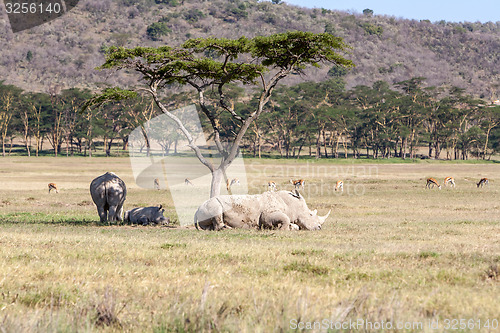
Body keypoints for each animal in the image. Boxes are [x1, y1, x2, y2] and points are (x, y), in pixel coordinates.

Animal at [193, 188, 330, 230]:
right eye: (310, 215)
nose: (319, 227)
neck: (291, 204)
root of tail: (197, 209)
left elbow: (293, 224)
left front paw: (290, 227)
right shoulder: (267, 214)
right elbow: (284, 218)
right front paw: (283, 229)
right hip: (211, 203)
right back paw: (226, 228)